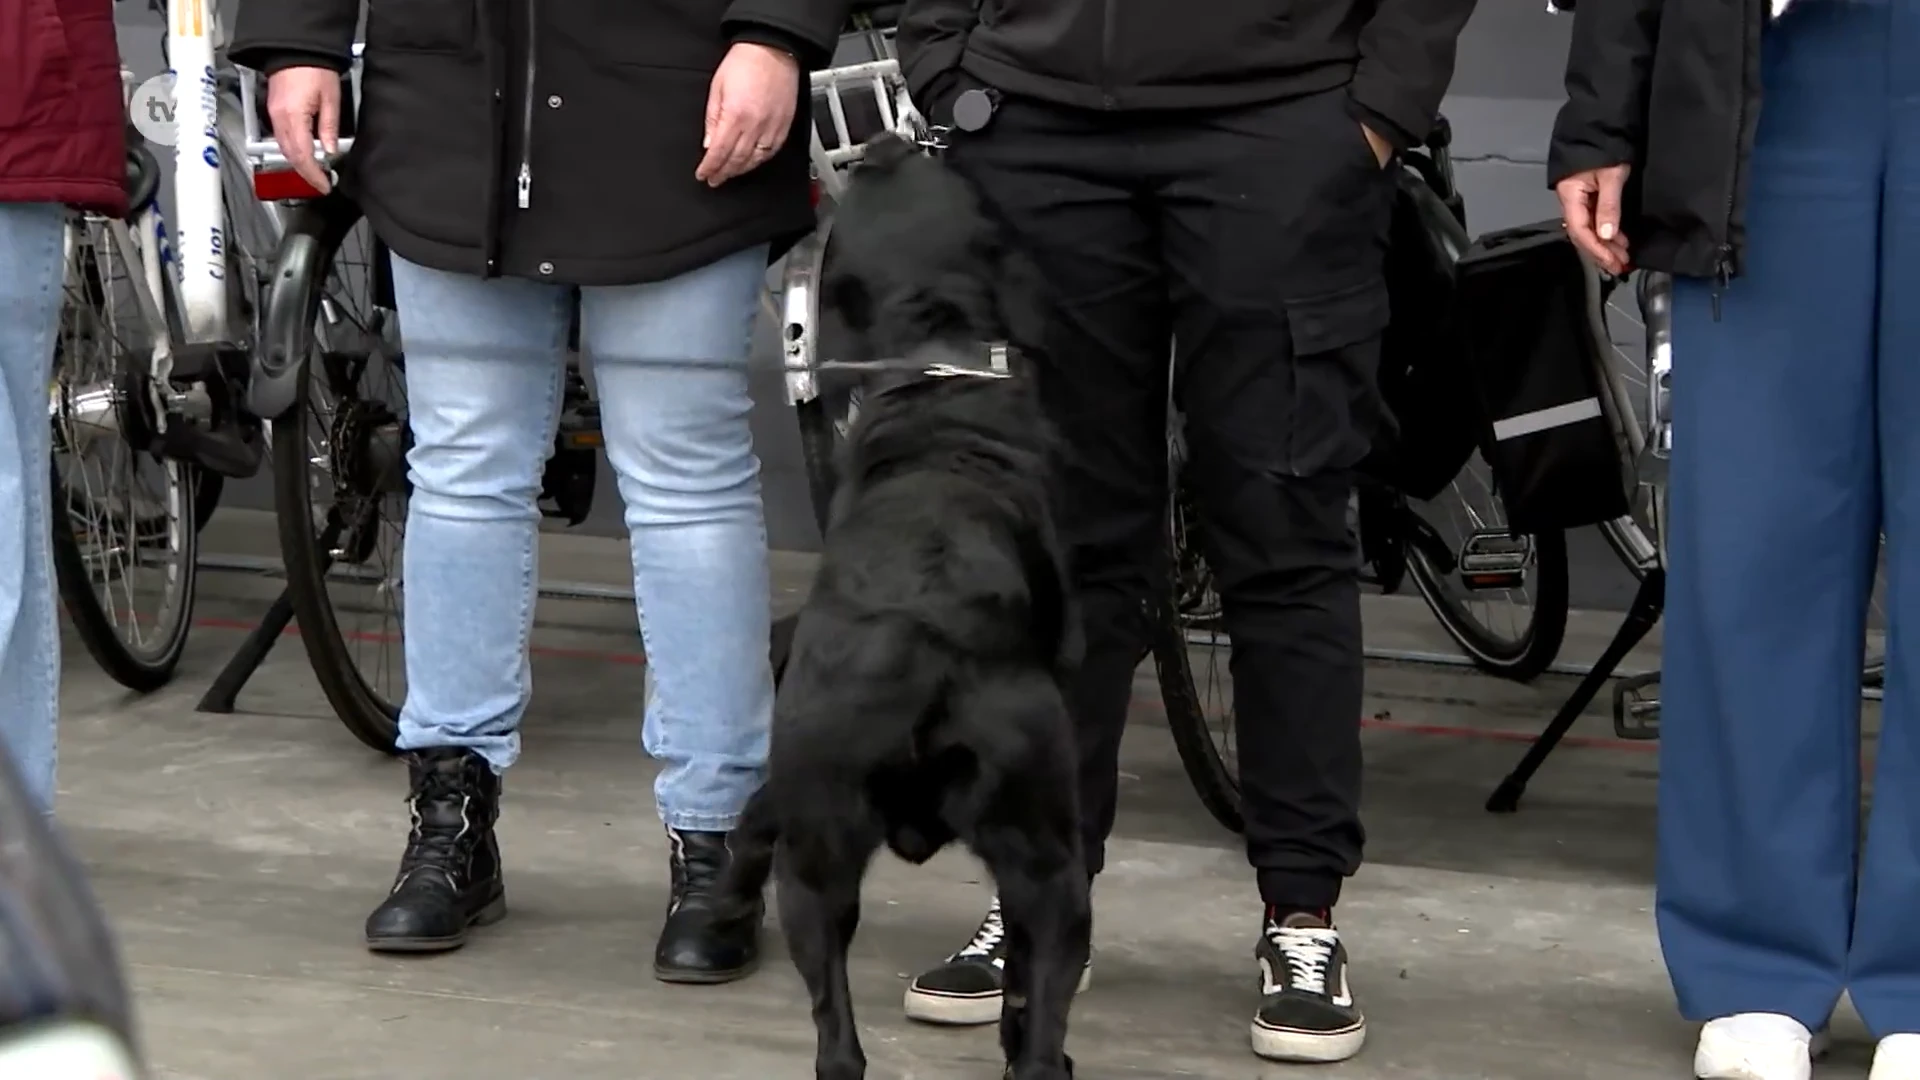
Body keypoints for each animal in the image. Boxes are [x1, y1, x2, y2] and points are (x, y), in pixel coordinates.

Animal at [721, 136, 1090, 1076]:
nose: (893, 142)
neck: (937, 357)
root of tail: (919, 644)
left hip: (822, 866)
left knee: (837, 1042)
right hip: (1047, 864)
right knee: (1034, 1015)